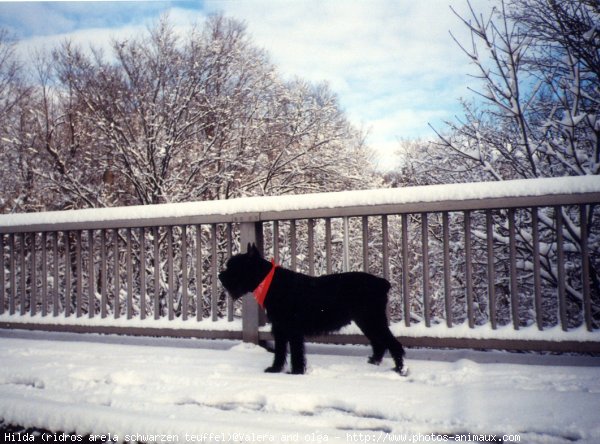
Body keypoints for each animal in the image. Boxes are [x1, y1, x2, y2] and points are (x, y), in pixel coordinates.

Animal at [218, 243, 406, 374]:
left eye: (234, 267)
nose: (220, 275)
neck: (271, 283)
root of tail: (382, 283)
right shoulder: (280, 329)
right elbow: (280, 351)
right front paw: (275, 369)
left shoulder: (292, 329)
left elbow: (296, 352)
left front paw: (296, 372)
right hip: (366, 321)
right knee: (379, 342)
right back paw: (374, 362)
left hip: (372, 319)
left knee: (393, 343)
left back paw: (399, 370)